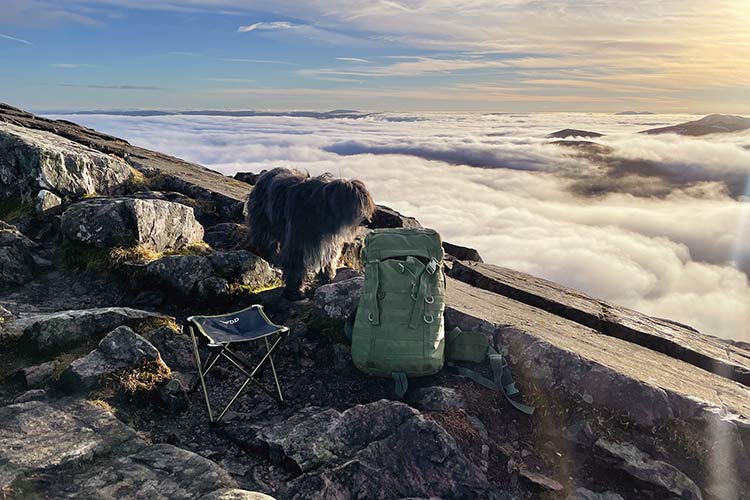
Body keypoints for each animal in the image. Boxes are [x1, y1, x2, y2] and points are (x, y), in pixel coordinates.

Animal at [247, 168, 376, 300]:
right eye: (357, 206)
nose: (369, 221)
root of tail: (265, 173)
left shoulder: (329, 242)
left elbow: (329, 258)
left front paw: (327, 276)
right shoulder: (298, 240)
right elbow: (295, 263)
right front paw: (294, 291)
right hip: (263, 221)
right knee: (264, 239)